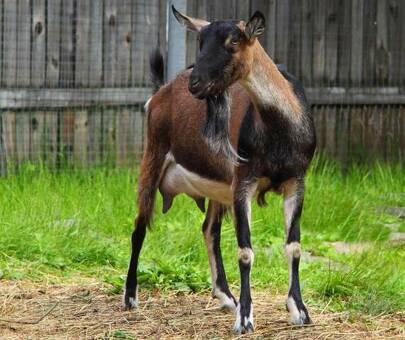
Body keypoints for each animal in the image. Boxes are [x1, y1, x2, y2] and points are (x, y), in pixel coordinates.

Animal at [123, 6, 316, 334]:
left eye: (232, 42)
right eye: (200, 42)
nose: (195, 83)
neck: (279, 129)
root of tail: (161, 92)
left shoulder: (296, 182)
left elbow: (294, 247)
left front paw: (299, 311)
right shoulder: (244, 182)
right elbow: (246, 251)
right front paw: (245, 319)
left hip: (218, 188)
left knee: (209, 230)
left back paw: (226, 297)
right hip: (153, 157)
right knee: (139, 227)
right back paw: (130, 297)